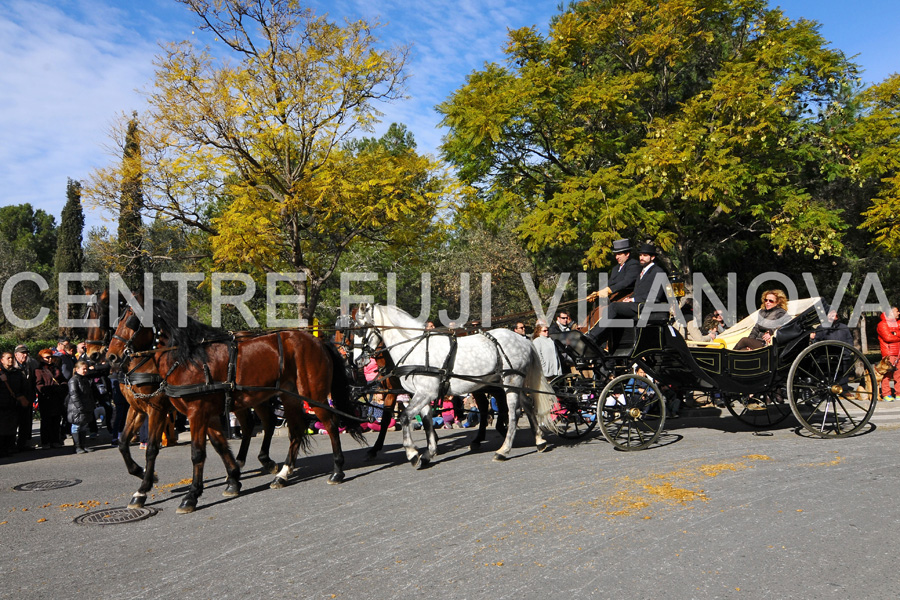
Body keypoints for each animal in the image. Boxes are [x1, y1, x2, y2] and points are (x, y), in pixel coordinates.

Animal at [85, 292, 282, 508]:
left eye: (104, 314)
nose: (95, 354)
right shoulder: (137, 407)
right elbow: (122, 443)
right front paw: (143, 473)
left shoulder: (158, 408)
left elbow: (152, 448)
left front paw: (144, 488)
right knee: (249, 426)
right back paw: (244, 461)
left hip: (256, 397)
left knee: (267, 422)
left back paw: (266, 460)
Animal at [110, 298, 366, 512]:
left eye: (131, 320)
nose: (110, 356)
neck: (188, 359)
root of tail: (318, 341)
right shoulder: (194, 413)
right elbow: (218, 444)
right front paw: (233, 478)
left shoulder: (178, 411)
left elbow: (189, 452)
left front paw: (186, 495)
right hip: (281, 397)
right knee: (291, 429)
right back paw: (281, 473)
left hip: (314, 396)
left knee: (330, 425)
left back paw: (337, 471)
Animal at [354, 302, 556, 466]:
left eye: (359, 329)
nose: (356, 360)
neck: (415, 349)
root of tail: (523, 340)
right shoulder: (421, 394)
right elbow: (426, 422)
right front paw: (429, 453)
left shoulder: (425, 393)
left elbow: (404, 417)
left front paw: (412, 454)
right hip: (513, 383)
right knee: (527, 405)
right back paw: (539, 441)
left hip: (511, 382)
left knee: (513, 413)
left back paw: (503, 450)